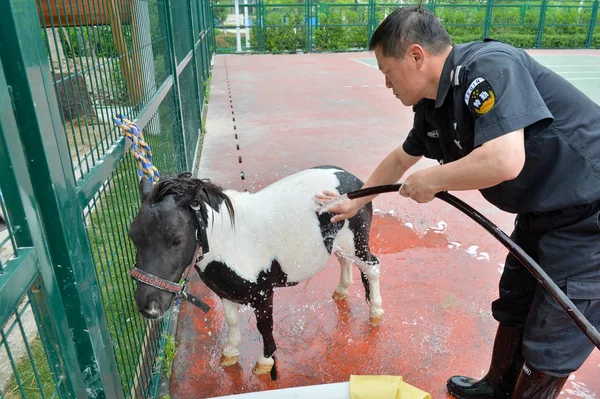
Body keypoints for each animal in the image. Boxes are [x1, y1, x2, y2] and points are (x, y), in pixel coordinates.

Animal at [129, 166, 384, 382]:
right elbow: (232, 321)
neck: (230, 239)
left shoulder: (262, 293)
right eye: (132, 236)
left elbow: (264, 326)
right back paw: (341, 291)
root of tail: (351, 179)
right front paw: (230, 353)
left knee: (372, 267)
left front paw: (265, 362)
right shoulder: (224, 292)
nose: (149, 307)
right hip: (340, 244)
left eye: (176, 240)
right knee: (344, 260)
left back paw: (376, 313)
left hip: (357, 243)